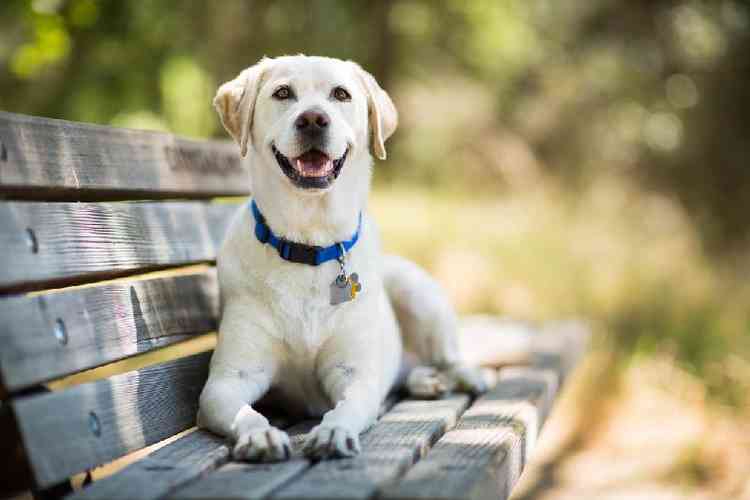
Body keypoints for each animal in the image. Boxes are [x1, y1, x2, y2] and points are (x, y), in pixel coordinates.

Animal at [197, 55, 488, 460]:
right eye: (282, 93)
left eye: (341, 94)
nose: (313, 119)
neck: (308, 244)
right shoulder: (227, 381)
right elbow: (245, 412)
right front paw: (260, 434)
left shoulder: (355, 375)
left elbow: (348, 406)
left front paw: (333, 431)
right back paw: (425, 380)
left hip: (415, 289)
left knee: (446, 355)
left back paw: (465, 376)